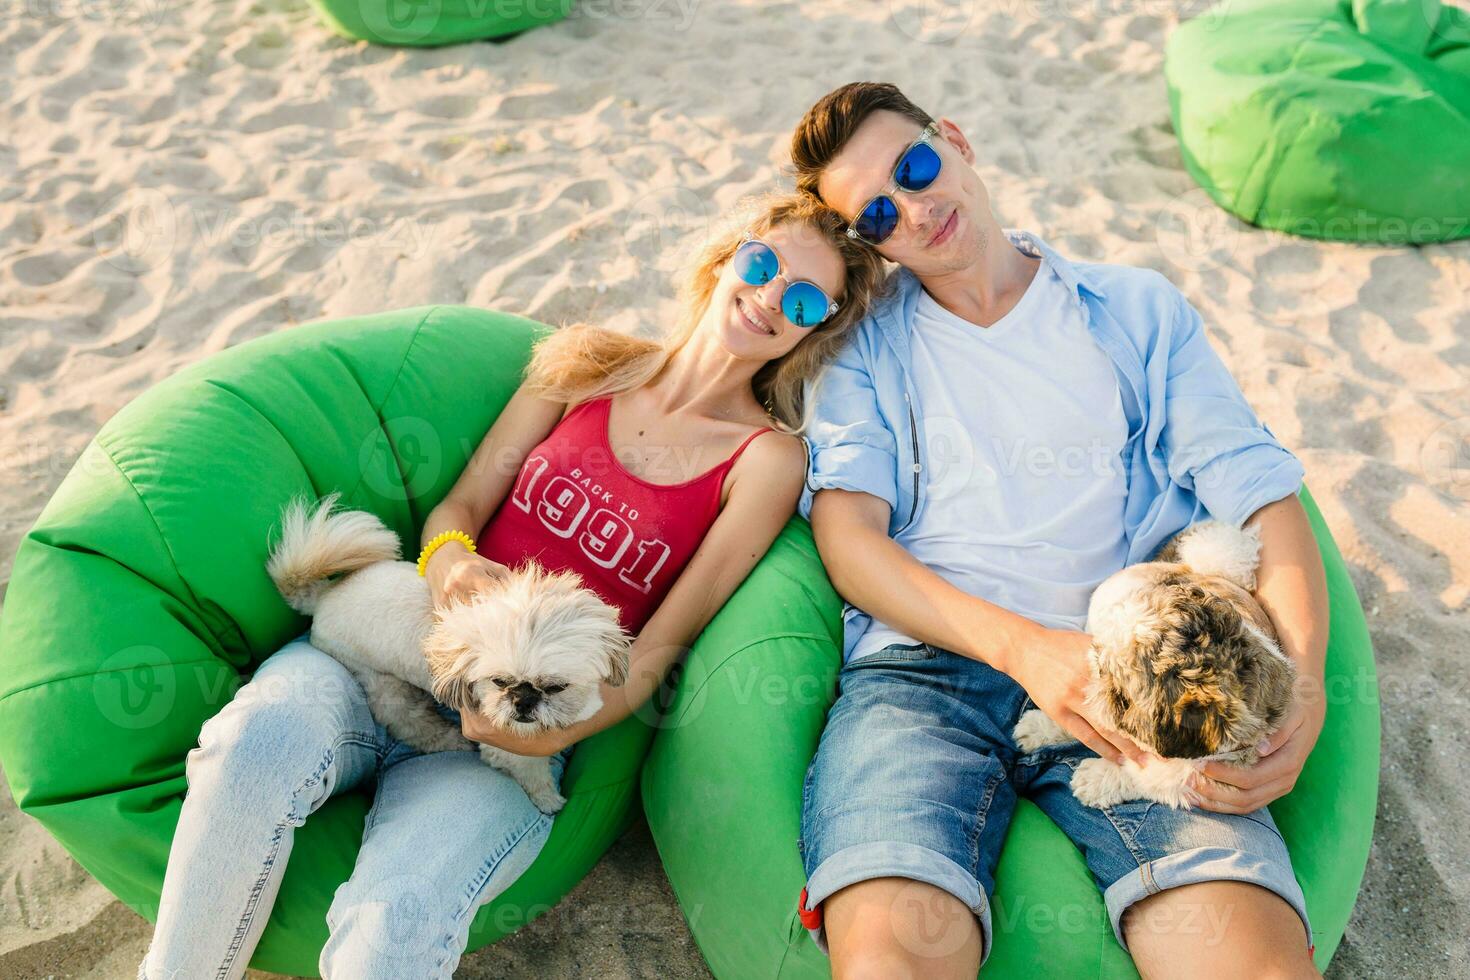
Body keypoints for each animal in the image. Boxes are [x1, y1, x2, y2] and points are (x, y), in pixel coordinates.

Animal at [267, 493, 629, 816]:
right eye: (498, 682)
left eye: (556, 686)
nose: (523, 702)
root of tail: (323, 596)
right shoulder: (505, 741)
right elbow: (531, 769)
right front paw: (548, 798)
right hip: (385, 685)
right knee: (411, 724)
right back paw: (450, 739)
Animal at [1011, 525, 1299, 811]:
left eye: (1123, 699)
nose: (1097, 662)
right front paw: (1039, 727)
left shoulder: (1199, 775)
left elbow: (1143, 777)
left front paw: (1095, 779)